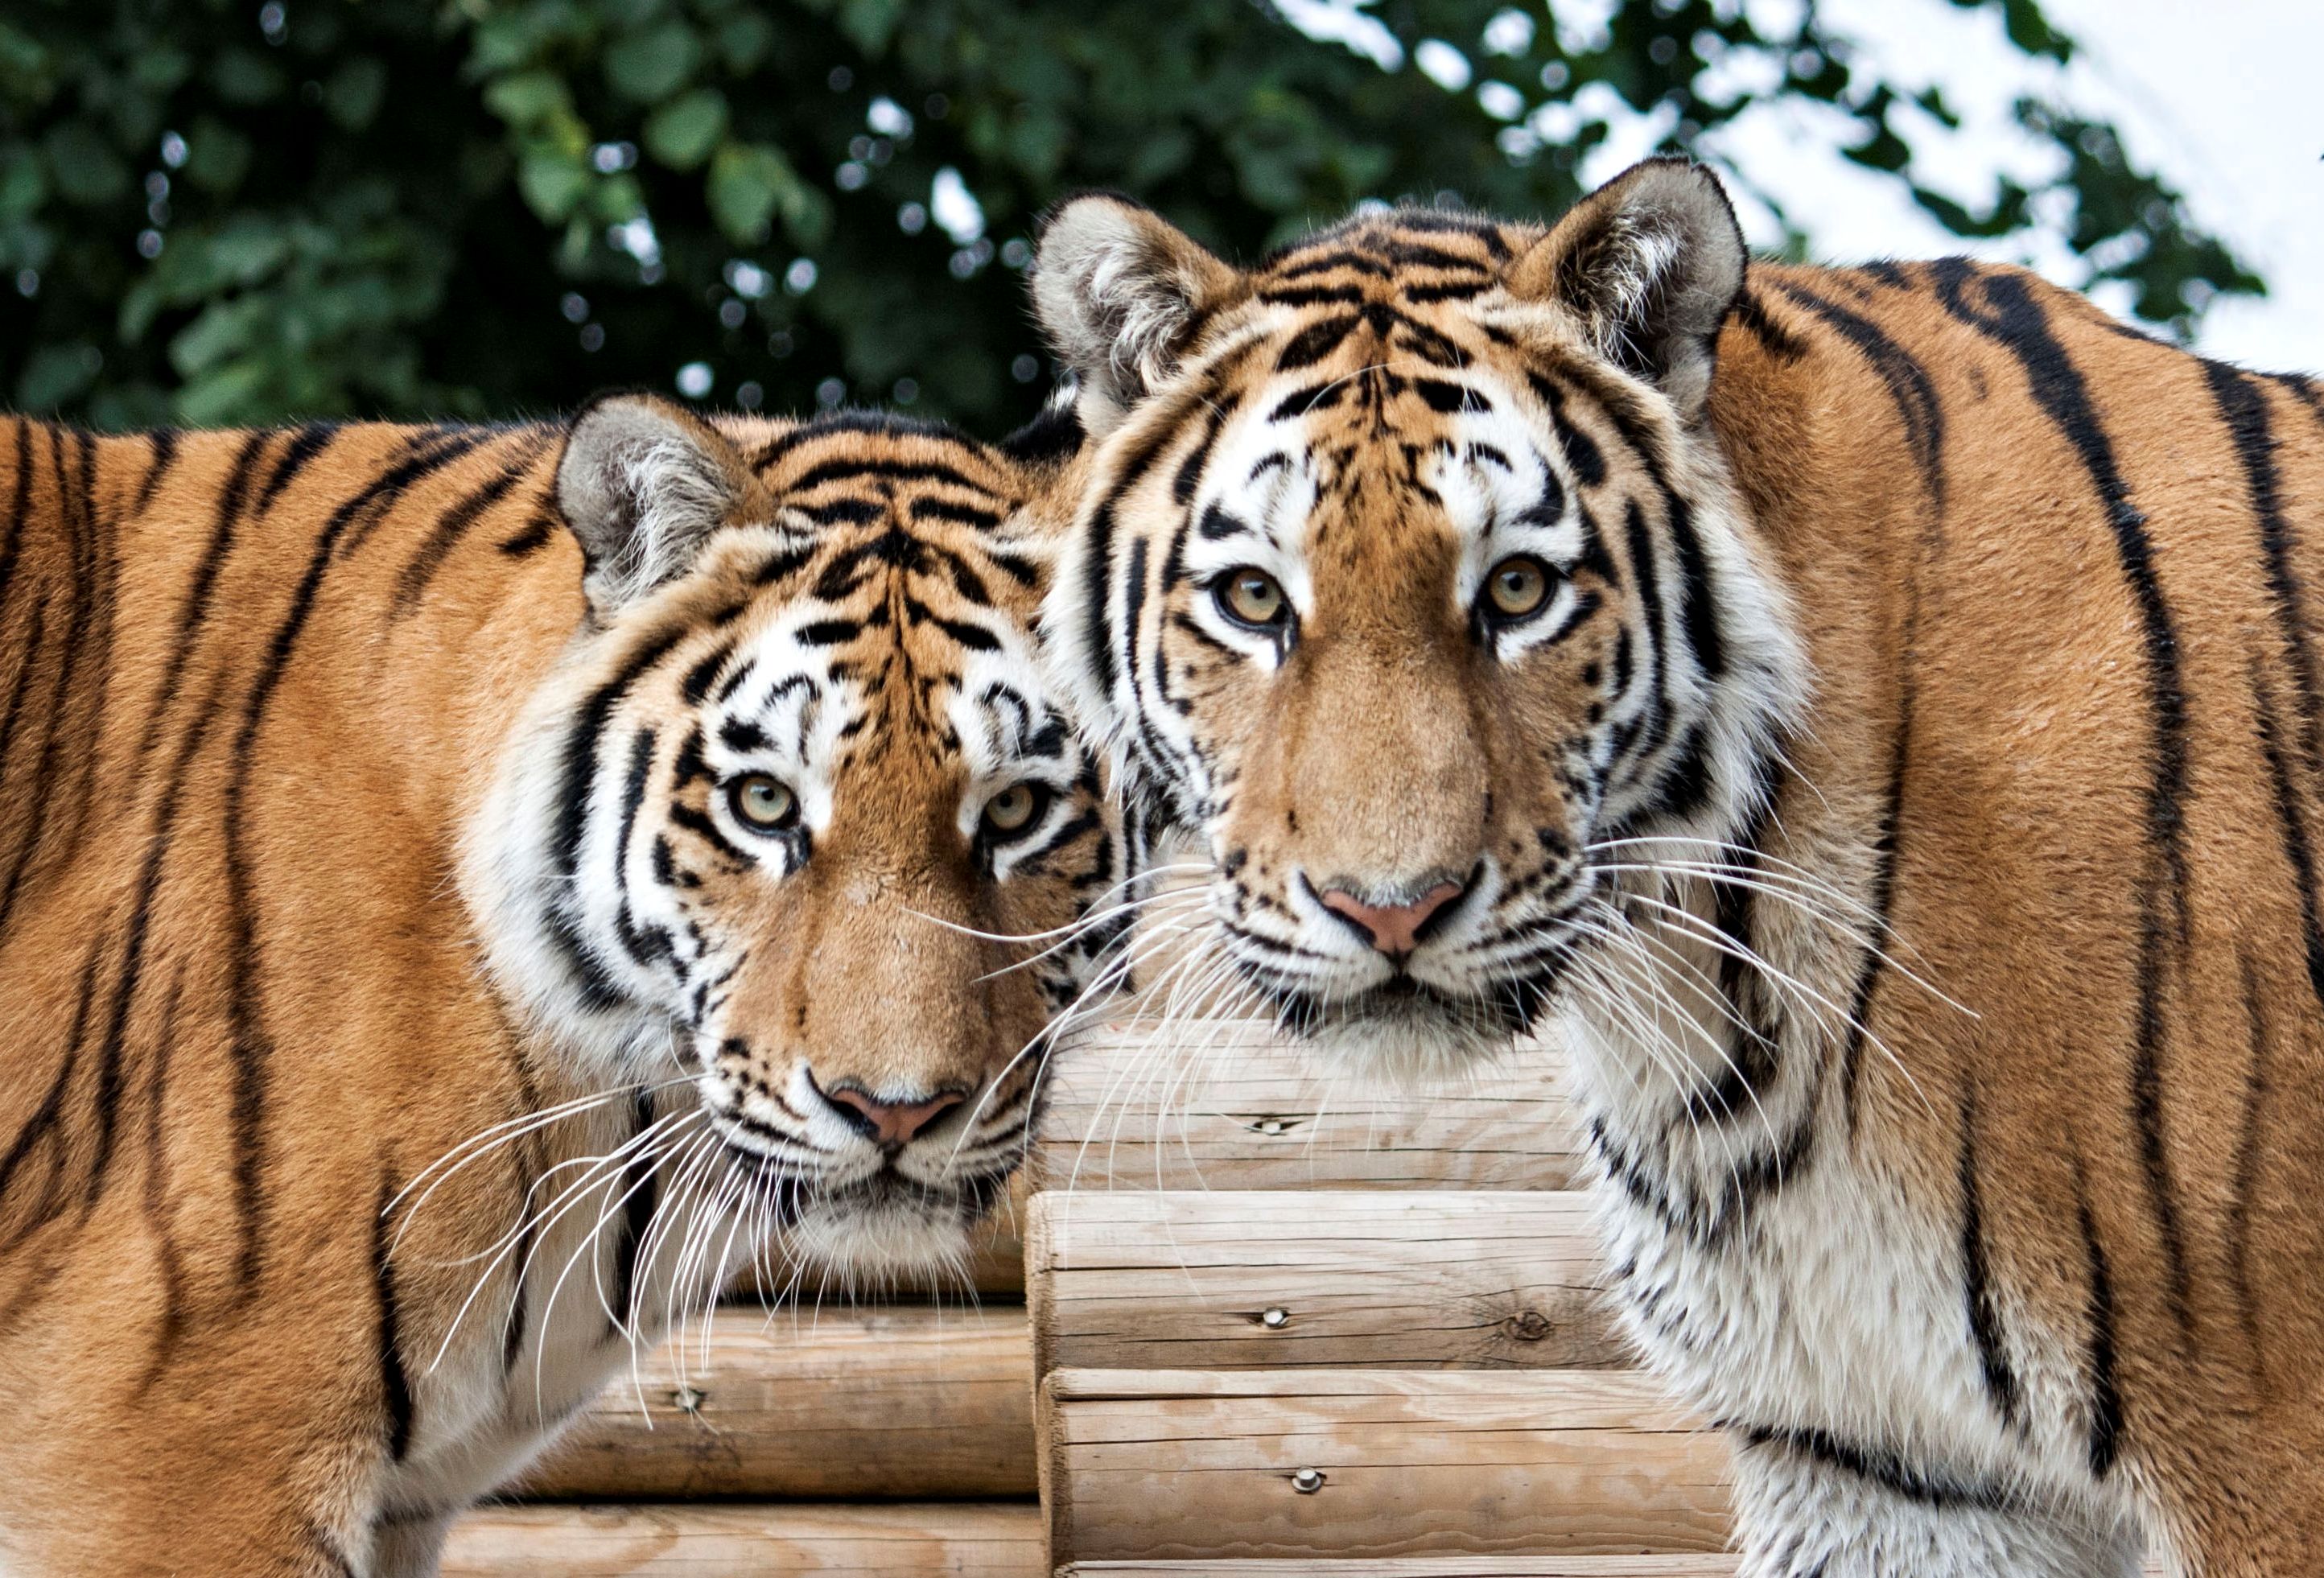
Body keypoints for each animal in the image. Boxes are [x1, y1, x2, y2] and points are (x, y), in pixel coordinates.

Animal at [1027, 155, 2324, 1571]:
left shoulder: (2265, 1451)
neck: (1705, 994)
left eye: (1519, 589)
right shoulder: (1893, 1469)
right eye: (1254, 599)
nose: (1393, 910)